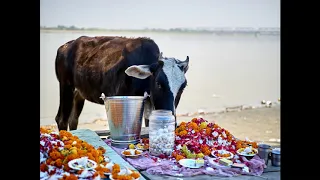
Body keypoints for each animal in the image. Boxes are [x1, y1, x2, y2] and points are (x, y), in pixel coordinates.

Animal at [54, 35, 189, 131]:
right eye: (158, 83)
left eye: (183, 87)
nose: (173, 124)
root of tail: (65, 46)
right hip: (65, 85)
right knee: (61, 119)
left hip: (79, 93)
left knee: (73, 119)